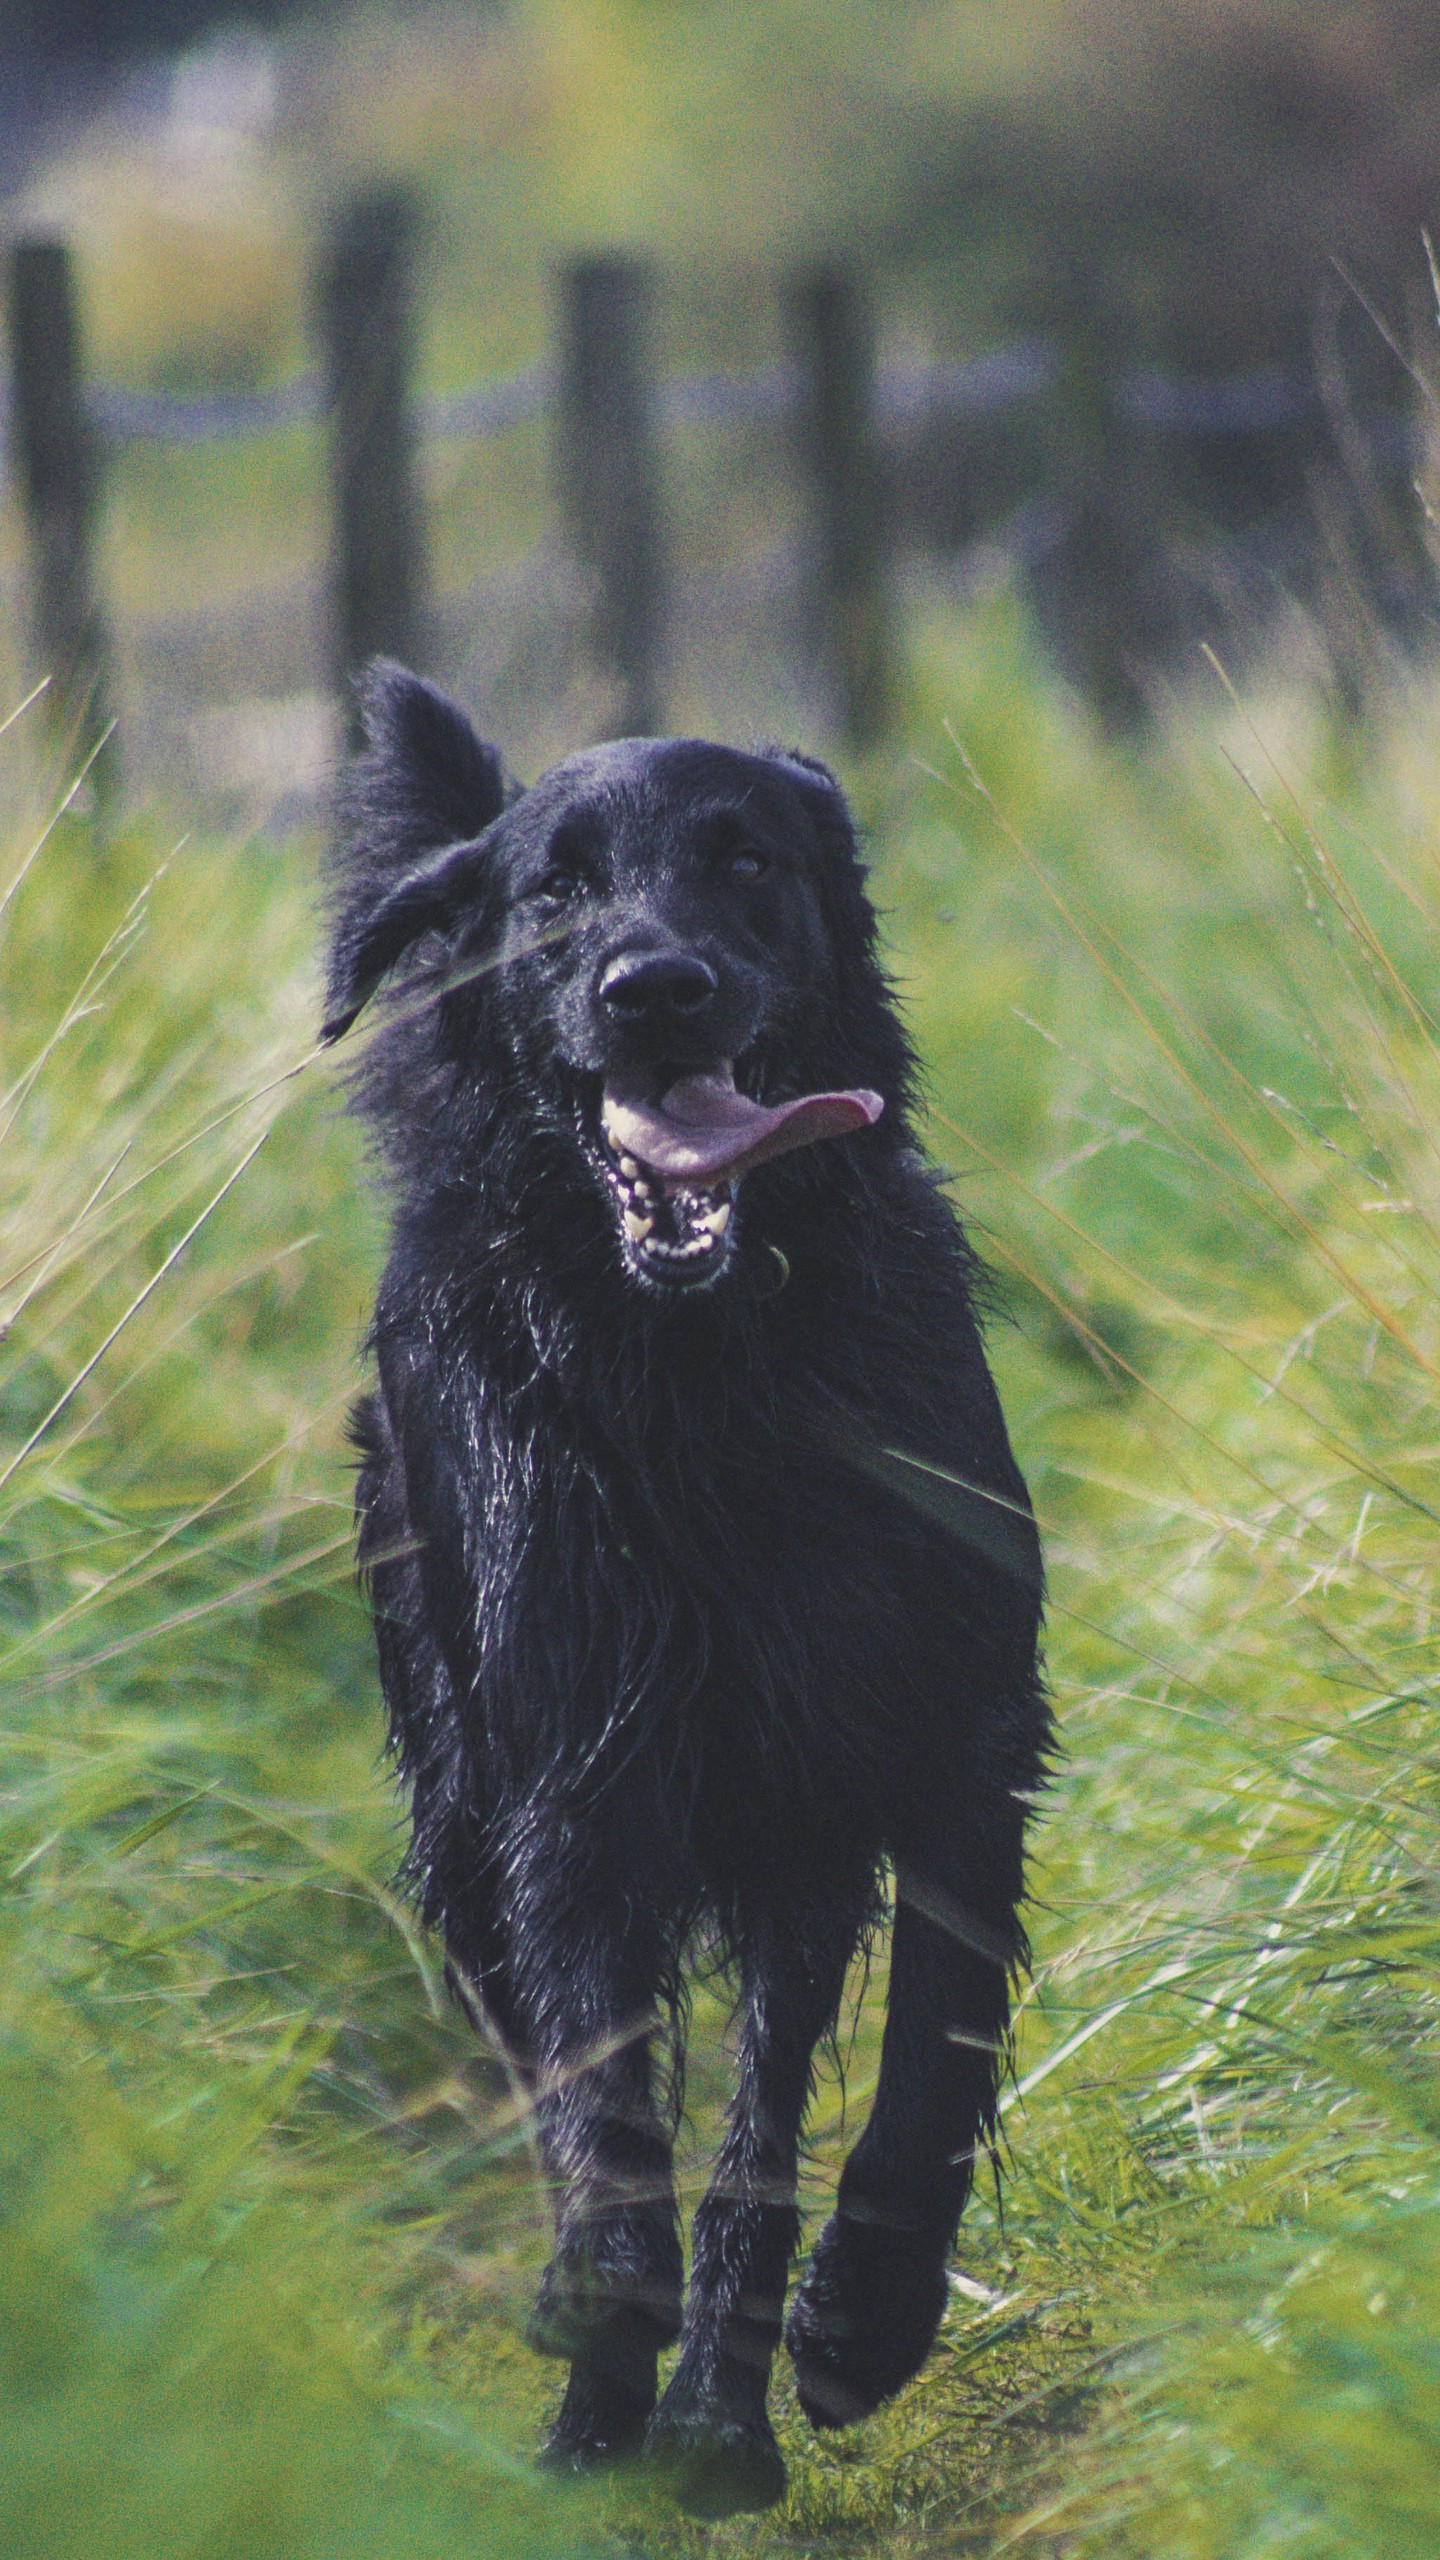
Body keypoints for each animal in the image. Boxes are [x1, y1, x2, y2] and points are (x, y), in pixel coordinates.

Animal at [322, 660, 1040, 2519]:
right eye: (554, 896)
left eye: (747, 861)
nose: (655, 987)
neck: (706, 1363)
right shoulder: (578, 1769)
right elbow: (602, 2104)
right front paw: (604, 2325)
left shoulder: (948, 1728)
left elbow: (922, 2053)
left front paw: (866, 2318)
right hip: (459, 1807)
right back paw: (614, 2414)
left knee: (769, 2111)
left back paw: (723, 2414)